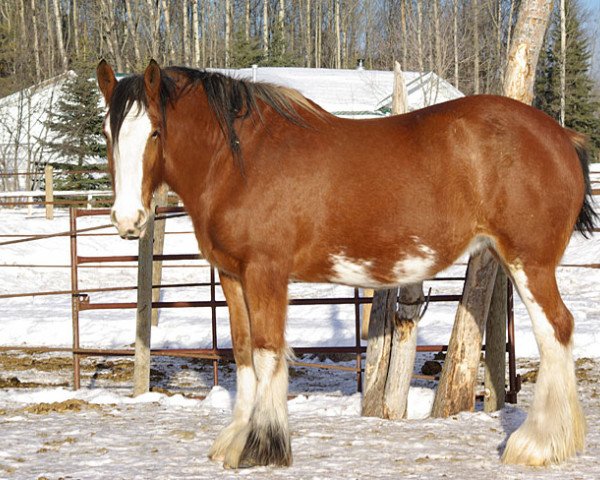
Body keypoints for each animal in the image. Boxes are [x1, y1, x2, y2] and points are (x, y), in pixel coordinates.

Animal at [96, 58, 592, 466]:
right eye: (107, 133)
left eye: (156, 132)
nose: (127, 220)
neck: (238, 160)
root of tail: (561, 136)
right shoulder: (232, 275)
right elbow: (241, 351)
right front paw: (236, 441)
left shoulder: (265, 272)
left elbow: (268, 351)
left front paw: (264, 447)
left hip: (530, 263)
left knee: (557, 330)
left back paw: (536, 445)